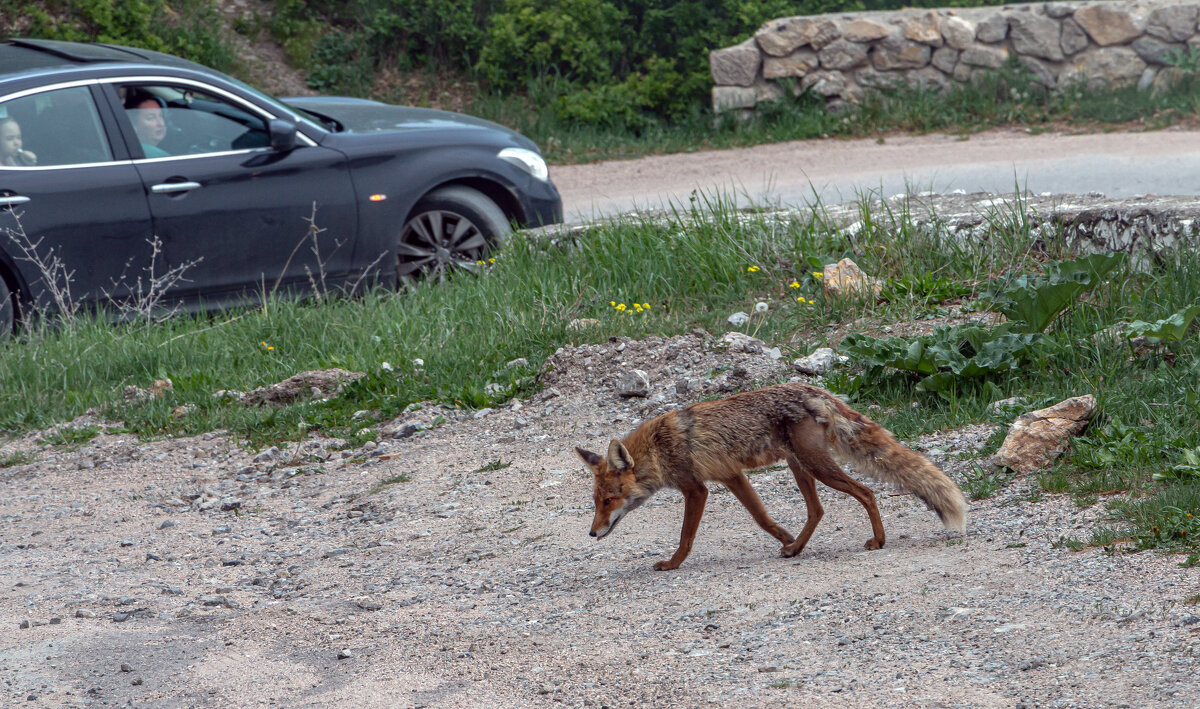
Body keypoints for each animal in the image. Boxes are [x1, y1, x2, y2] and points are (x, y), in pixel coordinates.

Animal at [571, 383, 964, 571]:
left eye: (609, 499)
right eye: (595, 502)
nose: (591, 532)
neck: (657, 448)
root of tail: (813, 391)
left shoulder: (696, 489)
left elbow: (685, 536)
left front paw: (672, 564)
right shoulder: (732, 475)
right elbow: (762, 518)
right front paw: (784, 537)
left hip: (817, 467)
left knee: (866, 492)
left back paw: (878, 541)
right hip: (800, 467)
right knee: (817, 511)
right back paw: (796, 547)